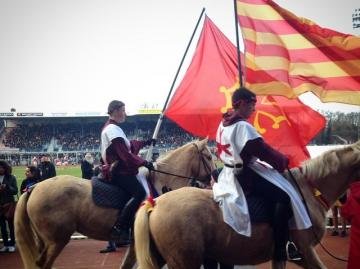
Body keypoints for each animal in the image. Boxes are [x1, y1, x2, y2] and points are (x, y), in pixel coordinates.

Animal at [14, 138, 214, 268]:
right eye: (210, 157)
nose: (213, 178)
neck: (160, 182)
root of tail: (34, 187)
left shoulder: (136, 244)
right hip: (57, 241)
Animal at [135, 140, 360, 268]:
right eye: (207, 155)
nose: (345, 200)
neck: (307, 190)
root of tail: (155, 203)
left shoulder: (280, 255)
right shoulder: (305, 251)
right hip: (184, 262)